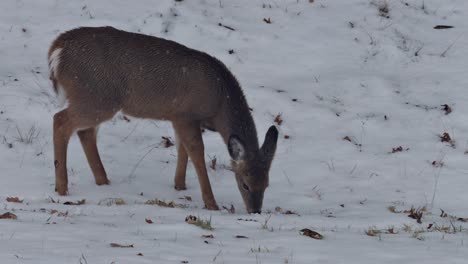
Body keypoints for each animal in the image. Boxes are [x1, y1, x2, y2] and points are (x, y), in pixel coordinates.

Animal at [47, 25, 278, 213]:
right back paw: (62, 188)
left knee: (85, 132)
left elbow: (182, 148)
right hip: (98, 97)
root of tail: (57, 50)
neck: (220, 101)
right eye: (245, 184)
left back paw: (102, 181)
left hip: (94, 98)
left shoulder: (179, 118)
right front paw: (211, 204)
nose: (255, 211)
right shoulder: (186, 115)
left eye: (266, 184)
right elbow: (197, 152)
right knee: (60, 120)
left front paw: (179, 185)